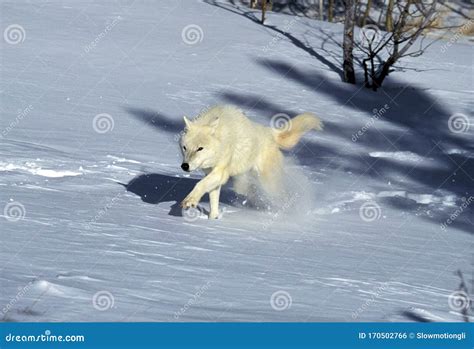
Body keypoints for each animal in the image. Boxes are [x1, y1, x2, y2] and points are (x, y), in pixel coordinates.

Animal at [179, 104, 322, 218]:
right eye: (185, 148)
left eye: (200, 148)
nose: (184, 166)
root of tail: (270, 132)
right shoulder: (211, 174)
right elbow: (212, 199)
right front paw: (212, 219)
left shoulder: (221, 172)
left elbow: (199, 184)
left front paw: (189, 201)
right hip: (244, 182)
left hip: (268, 184)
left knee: (282, 196)